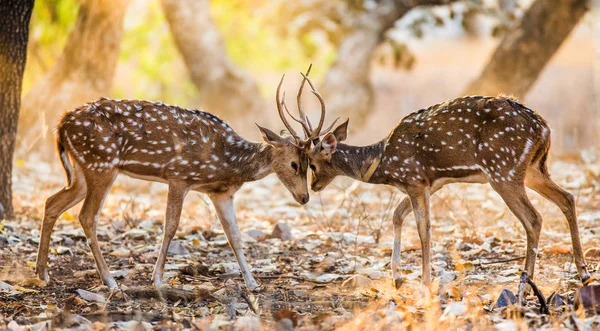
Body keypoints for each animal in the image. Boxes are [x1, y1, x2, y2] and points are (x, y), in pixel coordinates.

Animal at [35, 71, 326, 292]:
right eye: (295, 164)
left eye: (310, 163)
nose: (304, 197)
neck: (229, 162)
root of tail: (61, 125)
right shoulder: (179, 176)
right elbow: (171, 226)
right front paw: (157, 280)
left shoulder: (221, 194)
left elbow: (234, 236)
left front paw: (253, 283)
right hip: (101, 164)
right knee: (87, 216)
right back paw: (109, 281)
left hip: (83, 170)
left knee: (51, 202)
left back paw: (42, 273)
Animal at [300, 76, 592, 300]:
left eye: (311, 163)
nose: (313, 187)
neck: (383, 162)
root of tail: (545, 129)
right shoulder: (430, 184)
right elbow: (397, 215)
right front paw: (397, 278)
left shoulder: (413, 178)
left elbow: (424, 229)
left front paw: (423, 285)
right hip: (533, 169)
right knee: (567, 198)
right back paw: (584, 273)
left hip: (503, 170)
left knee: (534, 218)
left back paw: (524, 286)